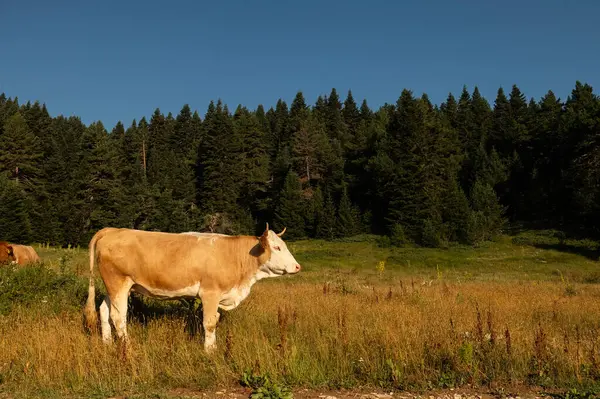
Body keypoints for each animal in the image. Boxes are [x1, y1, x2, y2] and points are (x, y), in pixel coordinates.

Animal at [83, 225, 300, 354]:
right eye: (277, 247)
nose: (297, 266)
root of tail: (113, 230)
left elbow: (214, 320)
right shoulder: (210, 293)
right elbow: (209, 323)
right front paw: (209, 352)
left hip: (115, 287)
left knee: (104, 310)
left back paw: (107, 343)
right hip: (118, 282)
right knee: (119, 317)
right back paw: (127, 348)